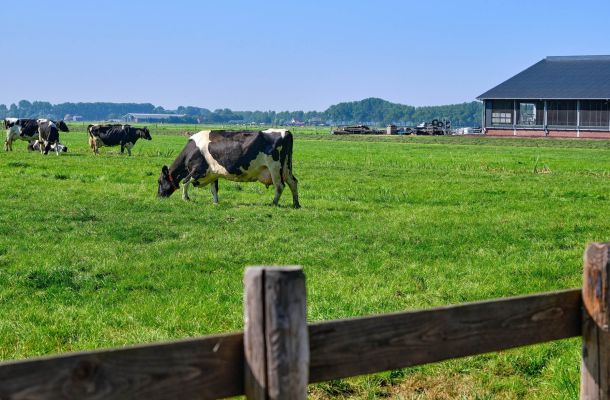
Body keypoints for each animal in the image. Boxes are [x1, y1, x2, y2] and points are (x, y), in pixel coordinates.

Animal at [157, 129, 300, 209]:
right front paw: (216, 203)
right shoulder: (213, 173)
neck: (192, 150)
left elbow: (185, 181)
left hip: (275, 167)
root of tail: (286, 132)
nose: (158, 196)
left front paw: (185, 198)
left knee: (280, 186)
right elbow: (214, 189)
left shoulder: (198, 170)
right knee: (293, 182)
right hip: (286, 168)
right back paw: (296, 204)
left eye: (159, 181)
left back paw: (274, 203)